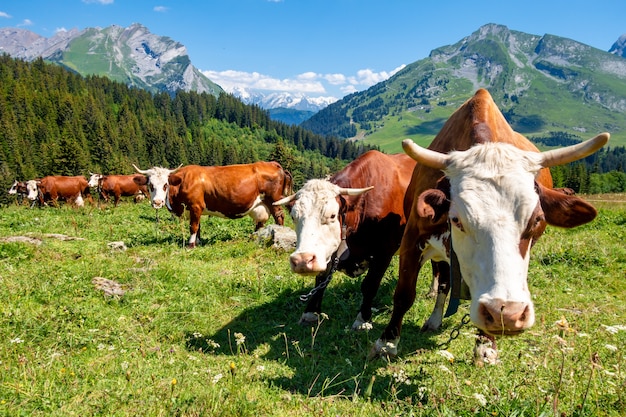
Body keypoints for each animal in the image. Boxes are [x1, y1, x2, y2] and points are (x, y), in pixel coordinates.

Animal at [132, 160, 292, 245]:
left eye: (166, 184)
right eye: (150, 185)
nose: (157, 202)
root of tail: (274, 164)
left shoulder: (196, 206)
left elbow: (193, 227)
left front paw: (191, 245)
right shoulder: (194, 210)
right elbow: (198, 227)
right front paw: (198, 242)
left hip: (274, 199)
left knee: (279, 217)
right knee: (260, 222)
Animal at [272, 151, 414, 330]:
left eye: (332, 215)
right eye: (294, 216)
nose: (302, 261)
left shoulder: (384, 252)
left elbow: (370, 285)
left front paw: (363, 319)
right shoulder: (328, 252)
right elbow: (320, 281)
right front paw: (310, 313)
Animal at [368, 89, 608, 362]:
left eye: (536, 219)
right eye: (456, 219)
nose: (508, 315)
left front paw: (485, 344)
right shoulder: (412, 238)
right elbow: (404, 294)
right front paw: (386, 344)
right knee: (443, 282)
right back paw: (434, 319)